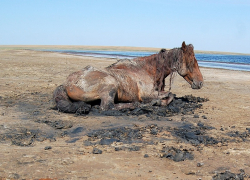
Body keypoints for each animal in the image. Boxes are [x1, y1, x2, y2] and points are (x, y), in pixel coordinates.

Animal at [52, 41, 203, 113]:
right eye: (191, 61)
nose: (200, 82)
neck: (148, 70)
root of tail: (66, 84)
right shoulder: (147, 94)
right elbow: (171, 95)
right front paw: (156, 102)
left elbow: (172, 95)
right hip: (110, 84)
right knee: (107, 107)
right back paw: (138, 105)